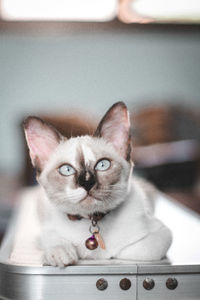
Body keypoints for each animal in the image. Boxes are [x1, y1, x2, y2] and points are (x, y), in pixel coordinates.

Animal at [20, 102, 172, 266]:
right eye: (67, 169)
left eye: (102, 165)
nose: (87, 183)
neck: (92, 219)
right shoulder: (43, 234)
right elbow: (54, 242)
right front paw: (62, 255)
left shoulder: (163, 234)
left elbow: (133, 250)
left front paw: (107, 255)